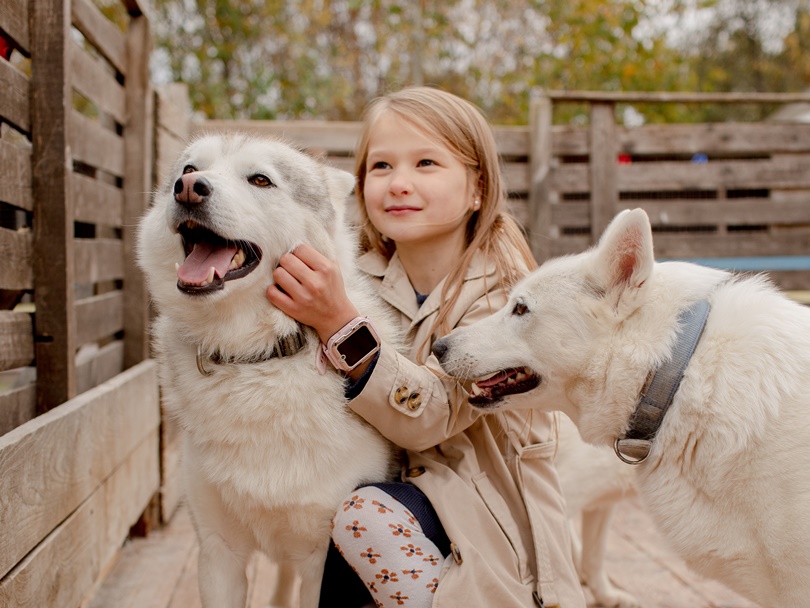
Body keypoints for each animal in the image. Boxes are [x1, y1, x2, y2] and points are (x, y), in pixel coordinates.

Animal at [137, 134, 400, 608]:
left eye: (260, 180)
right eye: (188, 169)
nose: (189, 189)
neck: (256, 360)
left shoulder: (322, 563)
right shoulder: (219, 551)